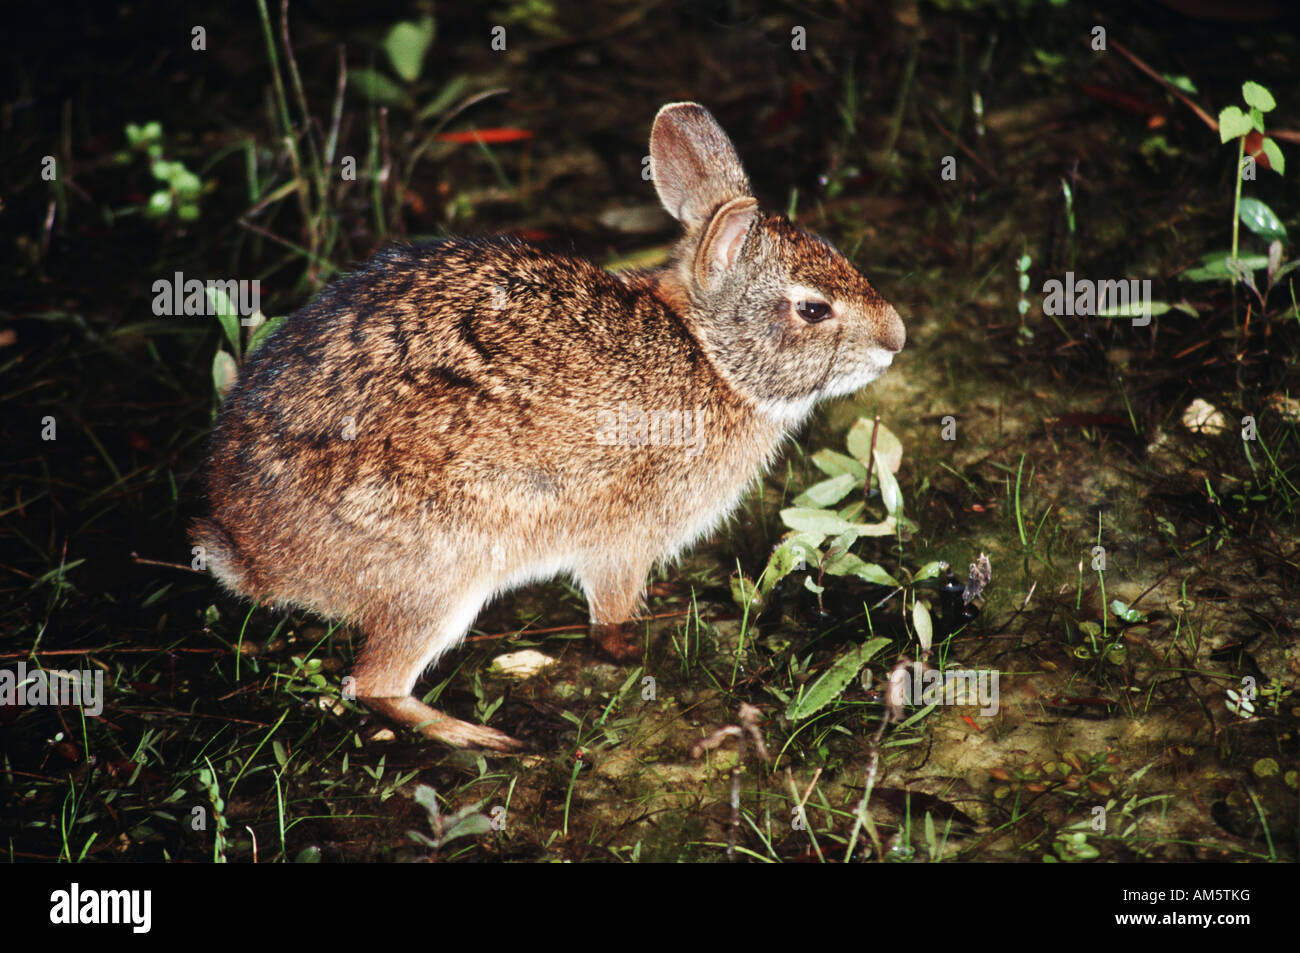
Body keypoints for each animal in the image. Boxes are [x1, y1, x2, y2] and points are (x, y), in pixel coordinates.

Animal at [192, 102, 905, 751]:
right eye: (813, 310)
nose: (895, 339)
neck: (709, 353)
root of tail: (249, 552)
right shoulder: (626, 535)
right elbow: (610, 607)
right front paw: (631, 643)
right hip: (444, 568)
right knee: (374, 683)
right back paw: (482, 737)